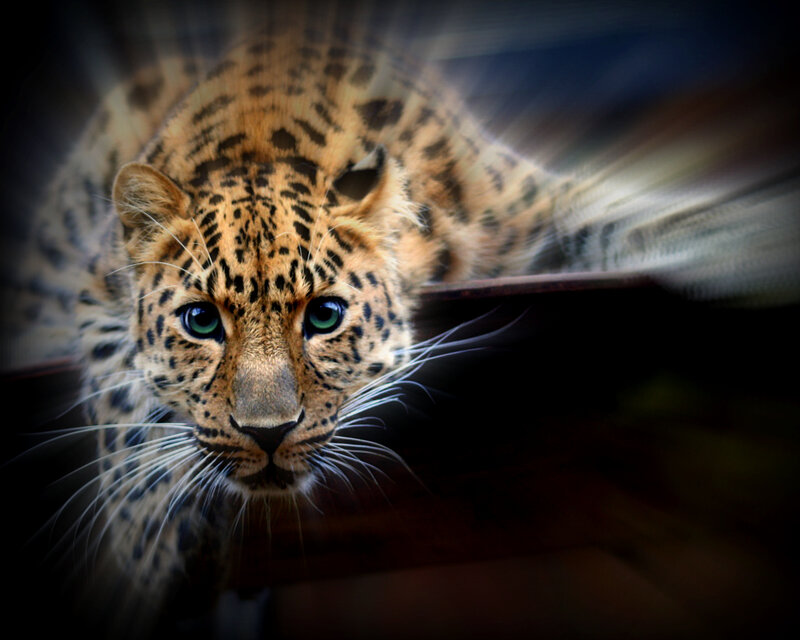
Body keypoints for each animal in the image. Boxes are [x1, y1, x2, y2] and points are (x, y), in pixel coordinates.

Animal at [6, 5, 799, 635]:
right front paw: (146, 548)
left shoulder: (528, 206)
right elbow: (121, 401)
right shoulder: (94, 289)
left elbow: (645, 212)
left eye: (325, 316)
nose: (267, 435)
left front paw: (763, 237)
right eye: (200, 322)